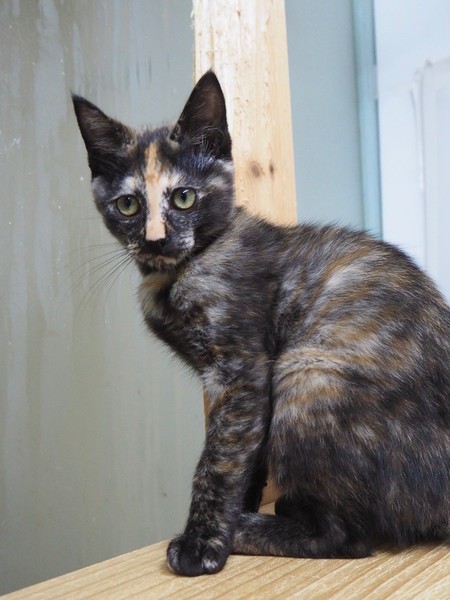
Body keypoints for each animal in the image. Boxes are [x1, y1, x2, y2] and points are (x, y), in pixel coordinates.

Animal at [72, 71, 450, 576]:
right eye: (128, 205)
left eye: (184, 197)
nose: (155, 239)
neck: (183, 268)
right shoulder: (232, 386)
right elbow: (244, 456)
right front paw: (232, 514)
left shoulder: (243, 371)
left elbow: (218, 460)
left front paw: (203, 544)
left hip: (307, 374)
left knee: (349, 537)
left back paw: (252, 529)